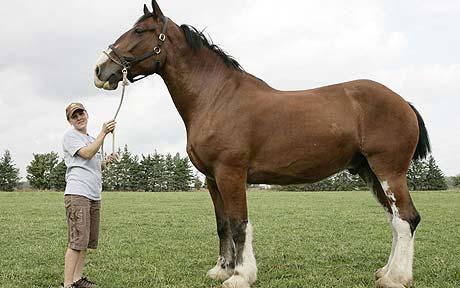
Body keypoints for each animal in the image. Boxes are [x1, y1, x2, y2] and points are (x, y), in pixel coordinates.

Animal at [94, 1, 432, 286]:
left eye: (140, 31)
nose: (100, 69)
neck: (215, 97)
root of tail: (403, 102)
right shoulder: (212, 178)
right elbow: (223, 224)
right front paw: (222, 269)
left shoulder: (231, 173)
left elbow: (239, 224)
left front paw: (240, 276)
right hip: (370, 172)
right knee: (395, 220)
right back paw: (386, 271)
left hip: (389, 171)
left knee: (406, 219)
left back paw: (396, 278)